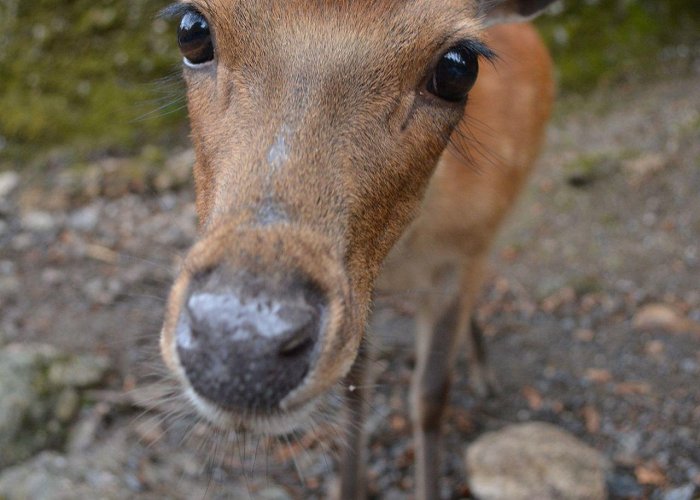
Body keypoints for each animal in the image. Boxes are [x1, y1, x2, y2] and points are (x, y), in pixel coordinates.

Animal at [159, 1, 552, 498]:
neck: (401, 253)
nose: (239, 346)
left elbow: (431, 395)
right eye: (191, 31)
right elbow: (355, 388)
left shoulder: (460, 256)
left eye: (458, 68)